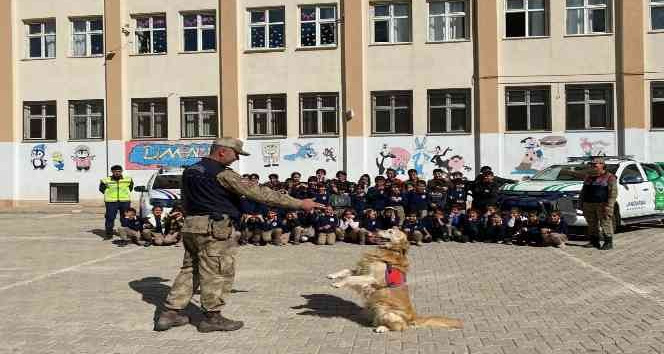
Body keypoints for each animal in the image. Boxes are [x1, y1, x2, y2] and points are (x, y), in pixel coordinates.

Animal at [326, 228, 462, 334]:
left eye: (390, 231)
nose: (376, 229)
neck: (388, 251)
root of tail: (413, 317)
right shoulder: (362, 270)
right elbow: (346, 271)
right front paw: (332, 275)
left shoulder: (372, 277)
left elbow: (349, 278)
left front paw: (338, 283)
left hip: (384, 309)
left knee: (401, 327)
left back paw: (382, 328)